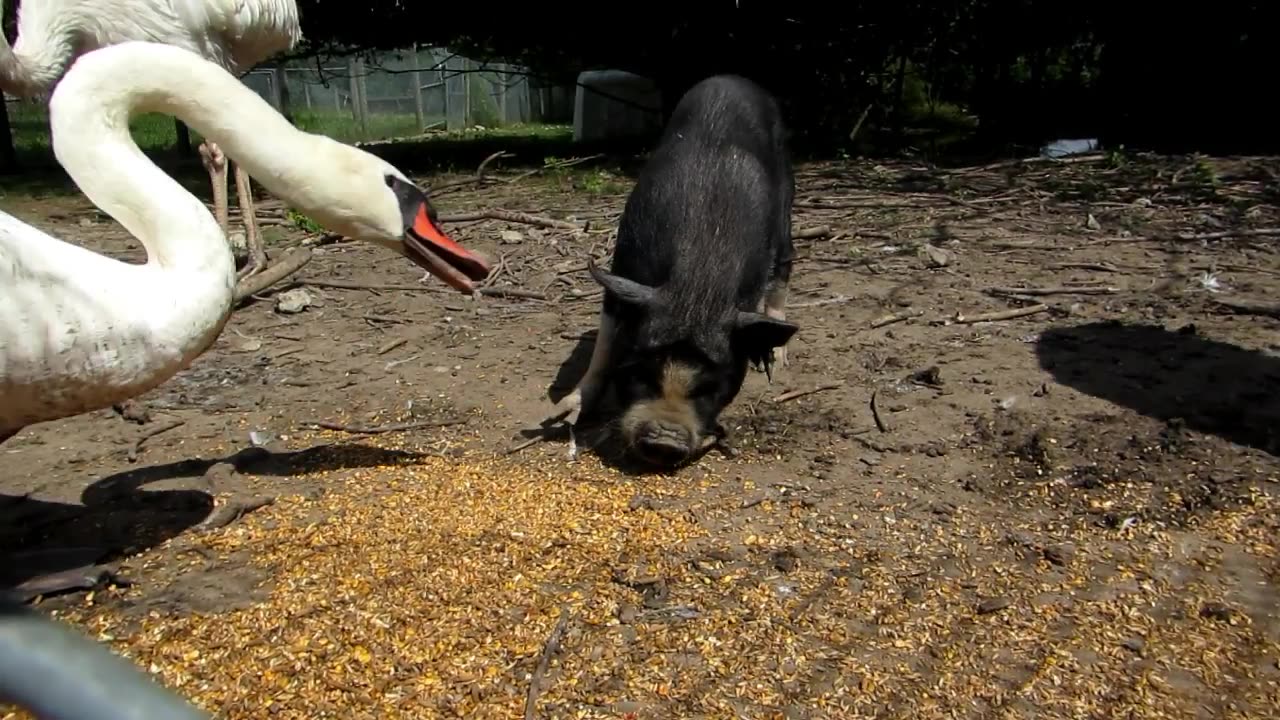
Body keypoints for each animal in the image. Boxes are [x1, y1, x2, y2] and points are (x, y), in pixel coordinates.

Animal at [551, 74, 799, 467]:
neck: (696, 289)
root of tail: (732, 78)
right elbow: (604, 344)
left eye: (713, 387)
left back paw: (775, 361)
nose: (665, 441)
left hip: (786, 194)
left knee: (785, 264)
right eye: (640, 371)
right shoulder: (623, 267)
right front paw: (565, 413)